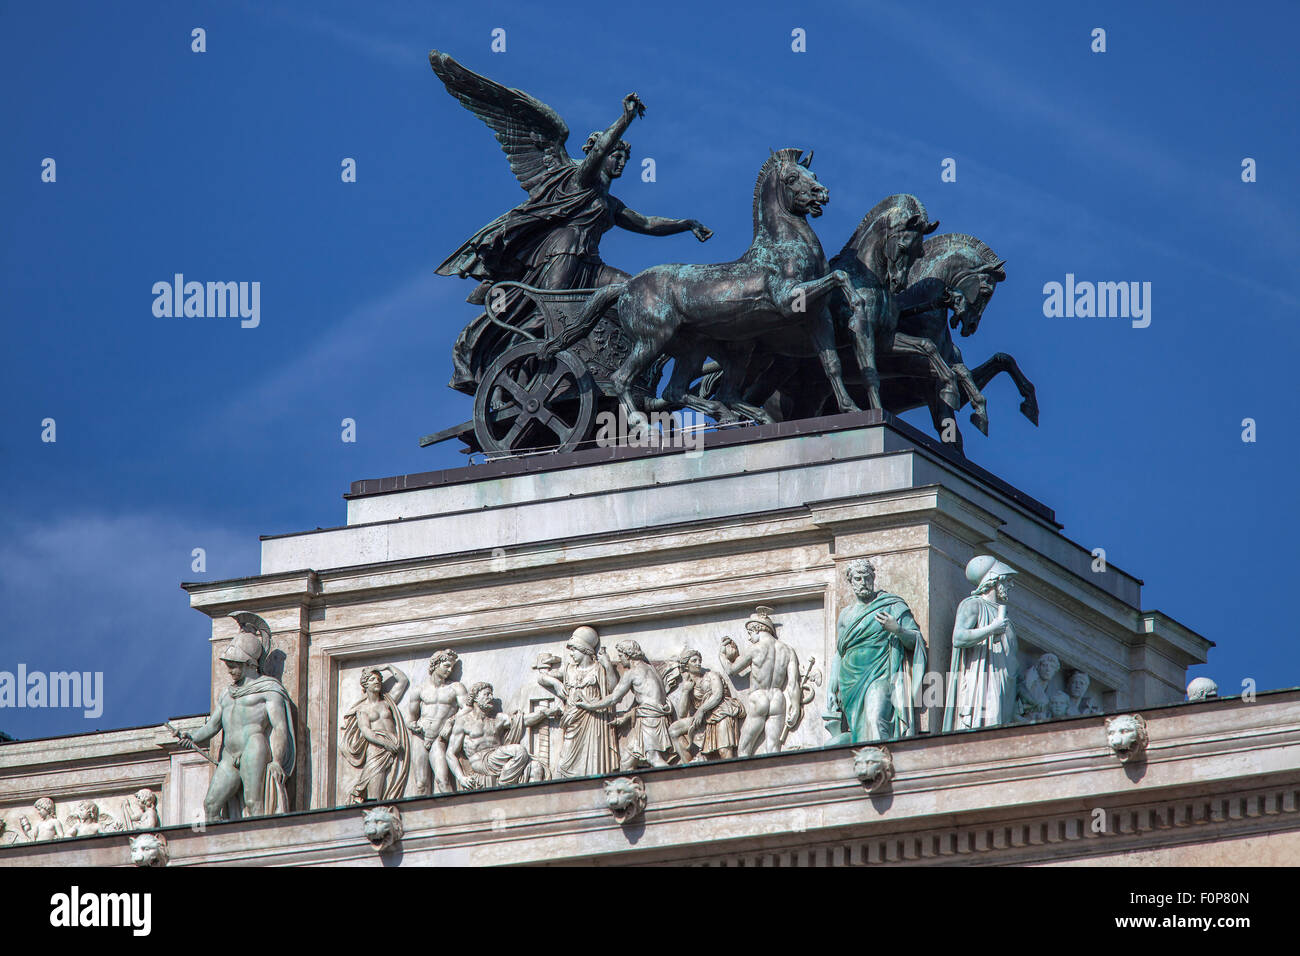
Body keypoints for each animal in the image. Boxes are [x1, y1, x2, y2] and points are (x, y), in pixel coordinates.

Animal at [551, 148, 863, 421]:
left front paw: (852, 408)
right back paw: (644, 425)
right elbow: (840, 276)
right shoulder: (788, 299)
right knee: (622, 379)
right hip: (653, 340)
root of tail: (626, 288)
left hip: (699, 349)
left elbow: (832, 364)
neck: (784, 245)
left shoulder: (817, 316)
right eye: (792, 178)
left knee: (684, 391)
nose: (821, 193)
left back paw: (733, 415)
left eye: (813, 173)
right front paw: (858, 304)